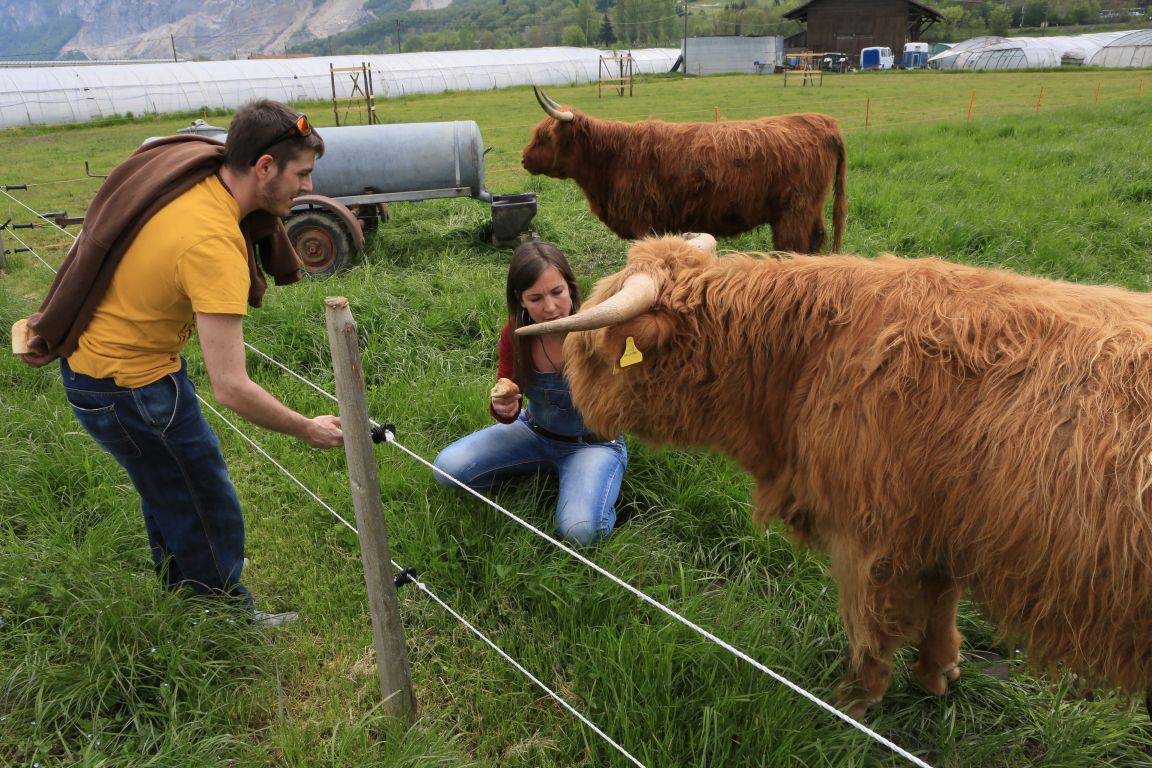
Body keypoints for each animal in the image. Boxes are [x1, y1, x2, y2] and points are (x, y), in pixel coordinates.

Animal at [520, 237, 1152, 718]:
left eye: (593, 353)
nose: (572, 401)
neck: (804, 365)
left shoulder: (868, 537)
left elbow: (867, 623)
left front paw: (852, 700)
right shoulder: (934, 528)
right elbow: (941, 602)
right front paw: (938, 672)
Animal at [523, 89, 847, 252]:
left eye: (545, 137)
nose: (524, 158)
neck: (612, 159)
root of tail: (823, 122)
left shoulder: (643, 222)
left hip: (793, 213)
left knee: (793, 247)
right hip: (808, 209)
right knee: (816, 239)